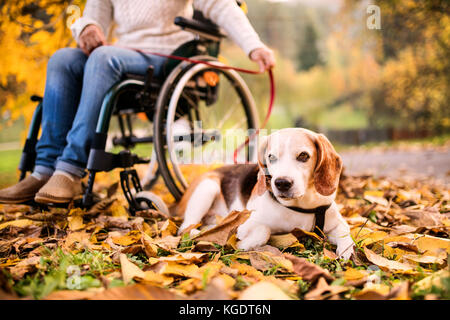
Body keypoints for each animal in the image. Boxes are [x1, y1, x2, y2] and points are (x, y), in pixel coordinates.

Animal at [176, 127, 356, 260]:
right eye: (271, 157)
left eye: (303, 155)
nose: (282, 183)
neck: (301, 204)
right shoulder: (246, 221)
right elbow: (263, 230)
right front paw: (243, 244)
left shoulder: (335, 222)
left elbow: (345, 231)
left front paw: (347, 251)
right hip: (207, 187)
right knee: (186, 228)